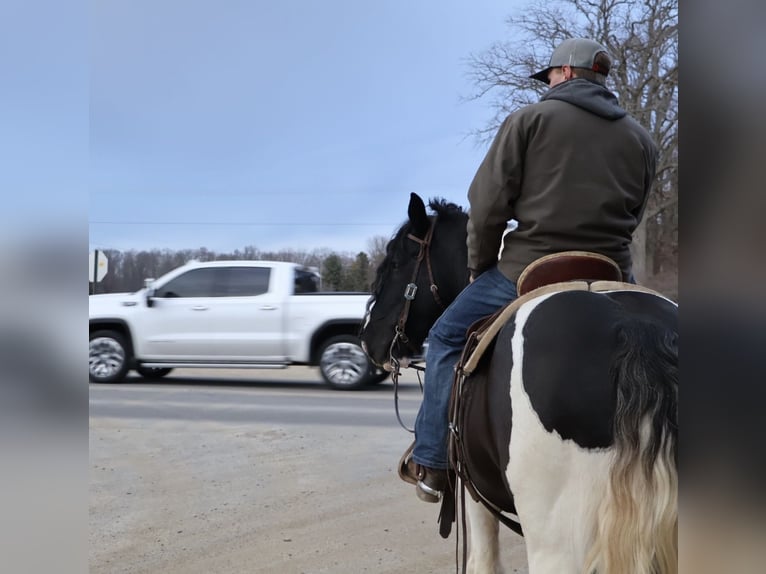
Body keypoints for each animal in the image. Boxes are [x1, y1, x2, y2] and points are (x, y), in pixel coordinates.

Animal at [360, 193, 678, 574]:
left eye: (395, 261)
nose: (367, 339)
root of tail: (635, 330)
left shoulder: (475, 493)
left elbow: (484, 561)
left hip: (555, 544)